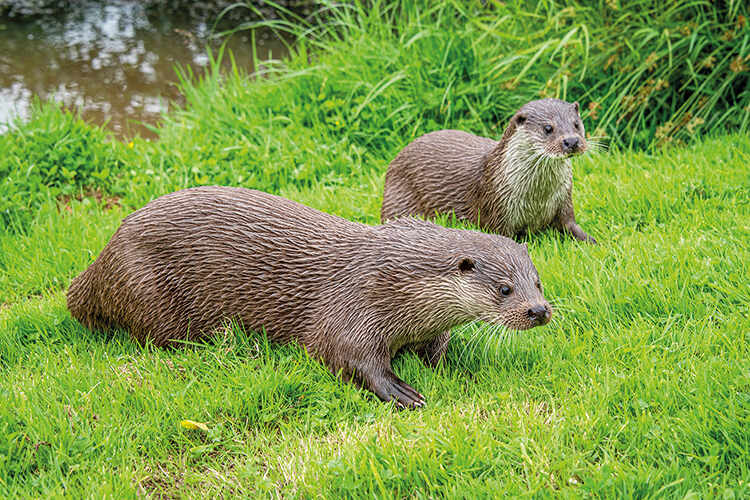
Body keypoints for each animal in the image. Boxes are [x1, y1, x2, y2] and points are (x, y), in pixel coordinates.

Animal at [69, 186, 552, 408]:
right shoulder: (354, 305)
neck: (399, 281)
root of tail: (96, 266)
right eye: (505, 288)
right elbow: (344, 353)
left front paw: (457, 371)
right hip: (145, 287)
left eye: (538, 282)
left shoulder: (429, 329)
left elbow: (437, 353)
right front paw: (400, 391)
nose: (539, 311)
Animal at [384, 97, 596, 242]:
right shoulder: (496, 206)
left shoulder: (564, 198)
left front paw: (591, 242)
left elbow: (570, 224)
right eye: (548, 128)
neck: (537, 198)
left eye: (576, 124)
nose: (572, 141)